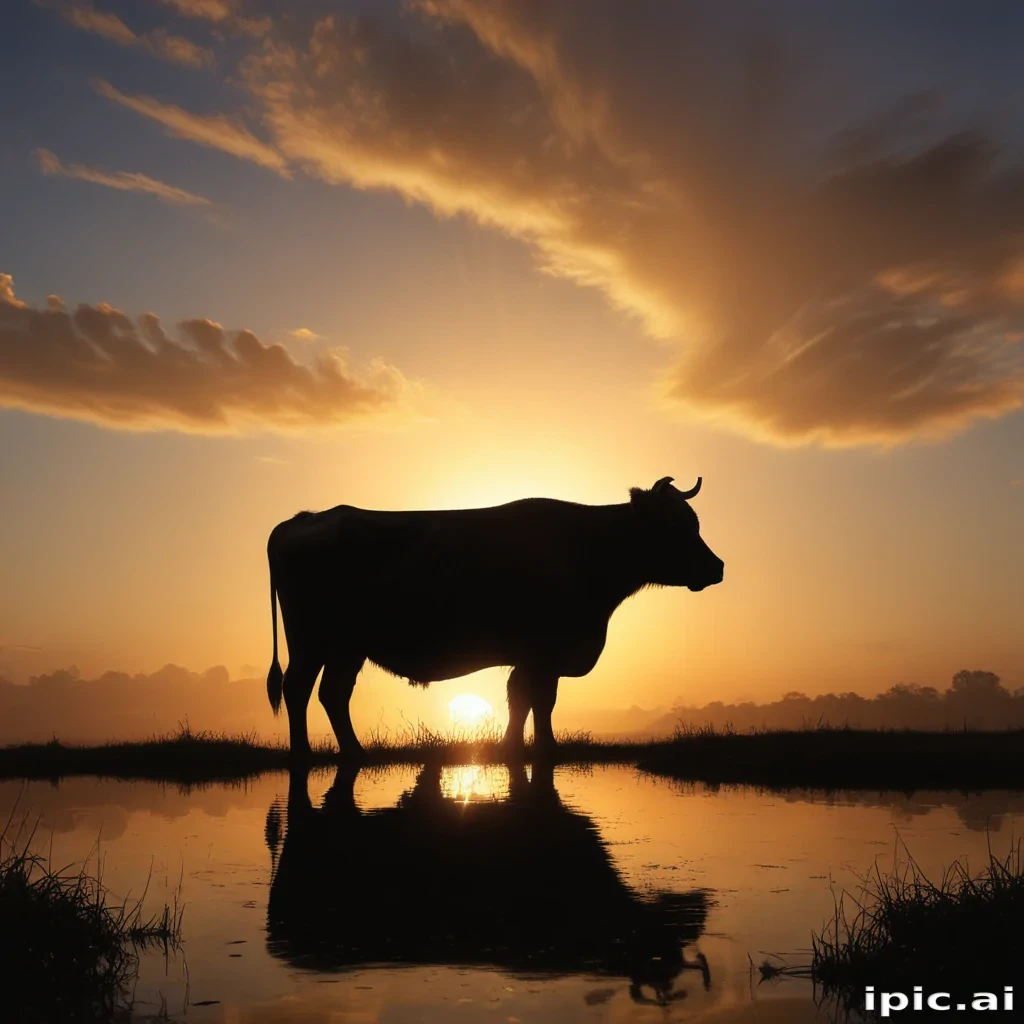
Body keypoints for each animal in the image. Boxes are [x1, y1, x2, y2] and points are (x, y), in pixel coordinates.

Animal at [266, 476, 724, 758]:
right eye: (675, 527)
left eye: (694, 522)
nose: (717, 567)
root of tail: (305, 518)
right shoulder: (543, 652)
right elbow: (537, 699)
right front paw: (542, 748)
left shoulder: (536, 657)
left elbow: (524, 700)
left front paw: (515, 747)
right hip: (311, 641)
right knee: (299, 689)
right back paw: (304, 754)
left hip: (346, 647)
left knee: (332, 694)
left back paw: (355, 753)